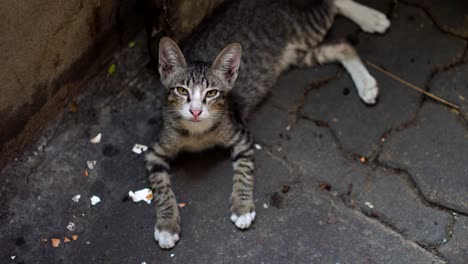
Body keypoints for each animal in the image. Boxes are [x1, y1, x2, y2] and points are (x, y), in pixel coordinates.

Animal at [146, 0, 392, 249]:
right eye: (181, 90)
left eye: (212, 93)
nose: (195, 111)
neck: (198, 133)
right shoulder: (154, 152)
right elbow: (161, 189)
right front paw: (166, 226)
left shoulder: (242, 136)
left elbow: (244, 172)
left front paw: (242, 207)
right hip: (298, 54)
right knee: (342, 46)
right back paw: (367, 77)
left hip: (305, 28)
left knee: (332, 8)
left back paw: (371, 23)